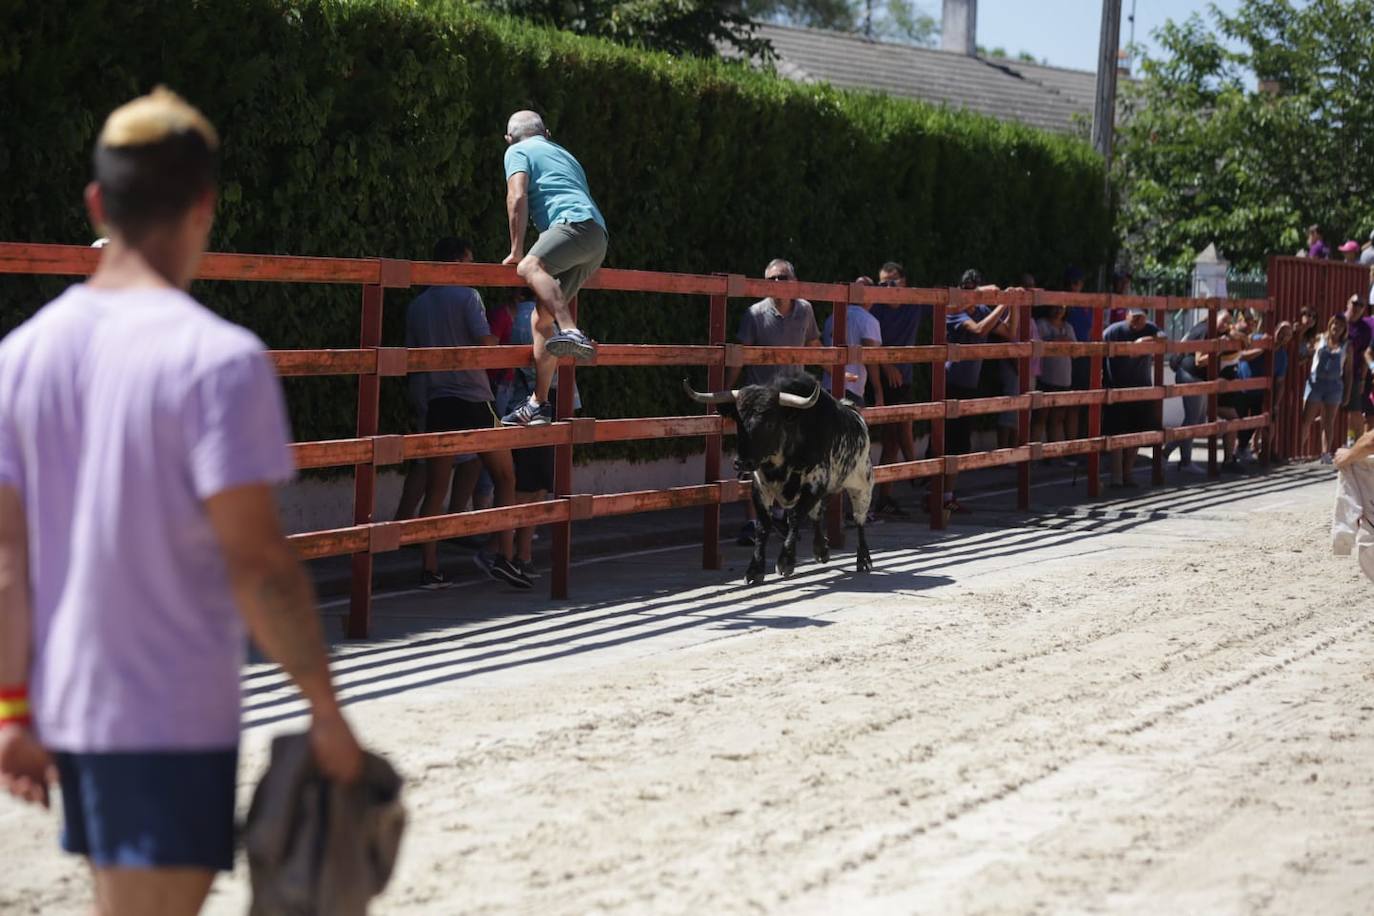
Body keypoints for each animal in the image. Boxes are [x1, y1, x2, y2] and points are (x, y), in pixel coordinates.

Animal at [684, 373, 873, 585]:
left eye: (769, 423)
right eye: (738, 422)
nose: (742, 463)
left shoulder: (815, 485)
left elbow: (795, 518)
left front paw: (785, 562)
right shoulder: (760, 488)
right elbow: (763, 525)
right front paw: (755, 570)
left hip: (863, 484)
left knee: (859, 519)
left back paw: (863, 558)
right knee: (817, 514)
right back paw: (821, 550)